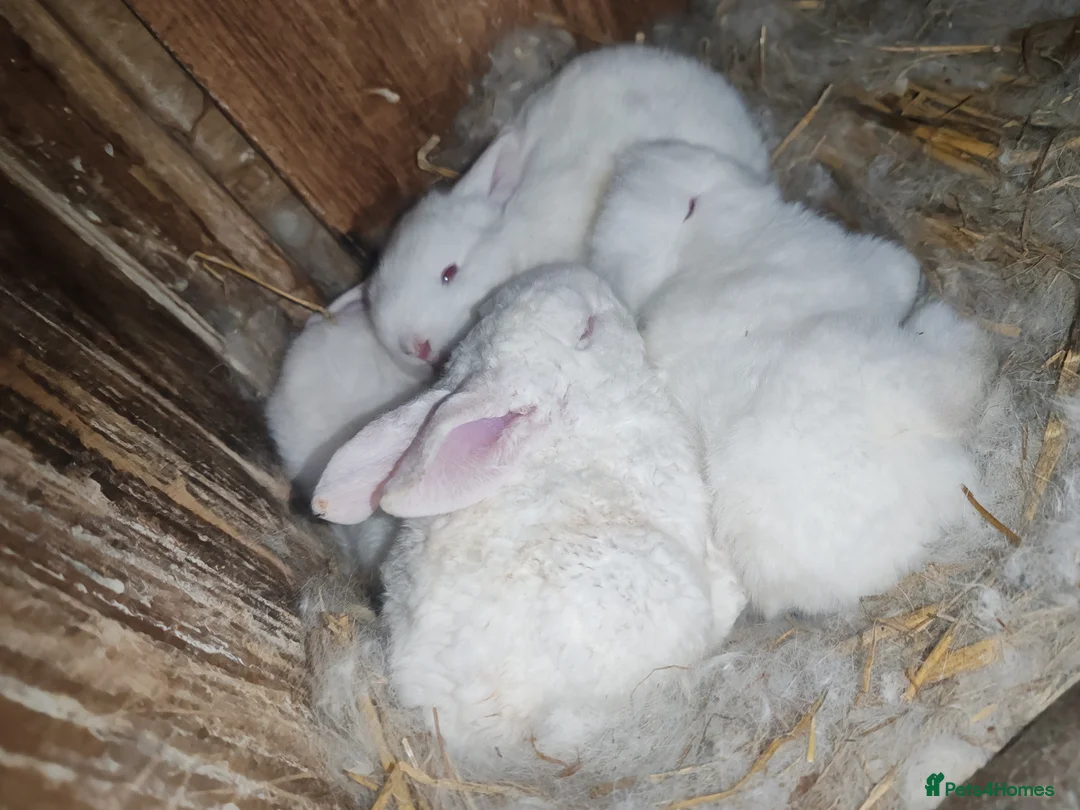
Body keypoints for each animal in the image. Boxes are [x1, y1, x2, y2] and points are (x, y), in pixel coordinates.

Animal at [588, 141, 995, 617]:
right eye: (691, 204)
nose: (635, 154)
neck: (700, 255)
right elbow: (897, 270)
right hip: (881, 363)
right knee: (954, 385)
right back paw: (951, 329)